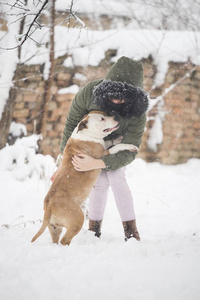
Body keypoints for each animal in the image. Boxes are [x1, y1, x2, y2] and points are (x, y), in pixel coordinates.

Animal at [31, 111, 138, 245]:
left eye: (105, 113)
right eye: (102, 119)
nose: (116, 117)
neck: (86, 133)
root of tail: (49, 205)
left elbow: (108, 142)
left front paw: (117, 138)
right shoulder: (102, 155)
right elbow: (113, 148)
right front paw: (128, 145)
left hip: (55, 228)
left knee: (56, 240)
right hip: (77, 219)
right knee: (65, 240)